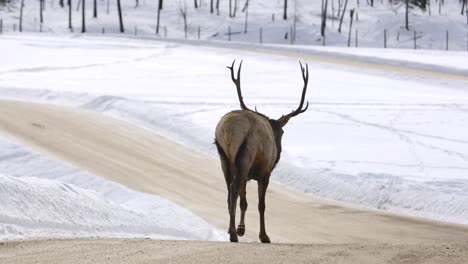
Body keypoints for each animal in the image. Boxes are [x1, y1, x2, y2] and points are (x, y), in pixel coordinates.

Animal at [214, 60, 308, 243]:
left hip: (225, 159)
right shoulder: (265, 172)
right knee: (233, 191)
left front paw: (242, 228)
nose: (279, 150)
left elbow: (244, 202)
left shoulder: (247, 175)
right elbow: (261, 205)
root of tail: (228, 130)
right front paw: (263, 236)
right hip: (245, 156)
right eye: (282, 132)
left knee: (229, 192)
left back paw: (231, 230)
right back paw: (233, 234)